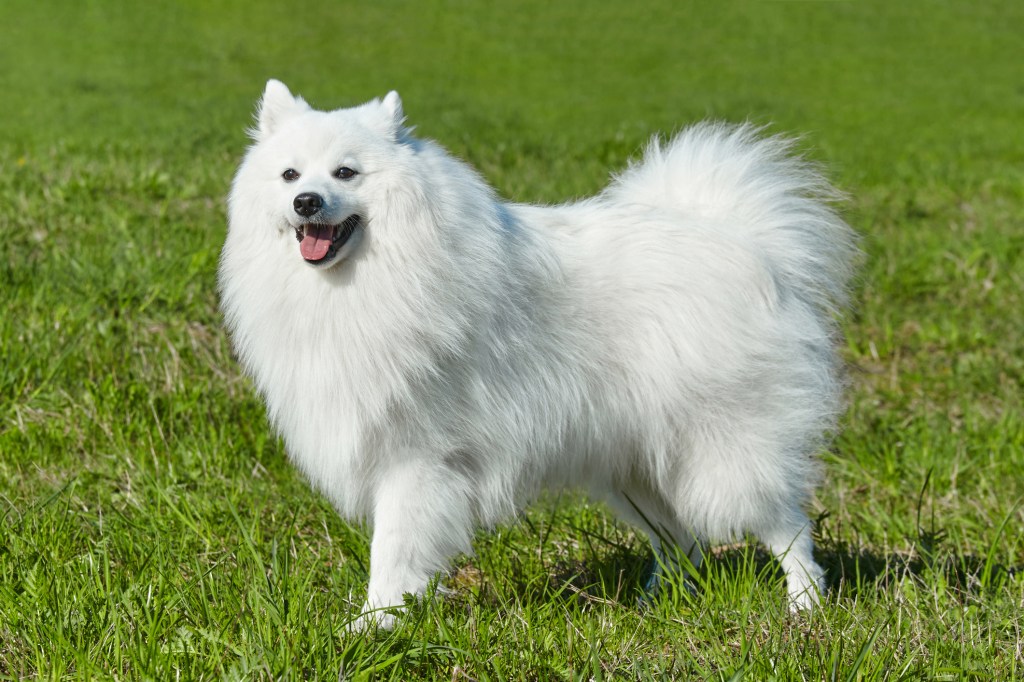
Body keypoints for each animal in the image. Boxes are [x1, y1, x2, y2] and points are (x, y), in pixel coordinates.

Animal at [222, 80, 856, 626]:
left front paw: (373, 625)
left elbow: (393, 550)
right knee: (682, 542)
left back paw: (804, 607)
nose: (306, 201)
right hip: (640, 467)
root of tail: (744, 240)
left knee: (786, 527)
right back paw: (654, 604)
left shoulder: (417, 459)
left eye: (346, 172)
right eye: (289, 174)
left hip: (723, 449)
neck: (364, 284)